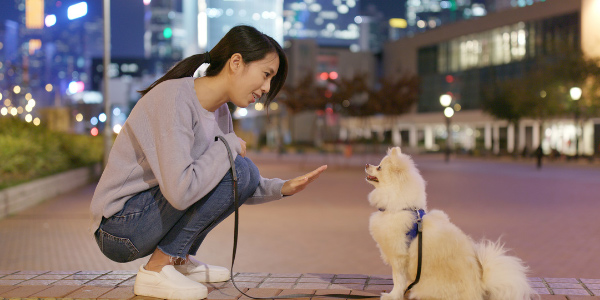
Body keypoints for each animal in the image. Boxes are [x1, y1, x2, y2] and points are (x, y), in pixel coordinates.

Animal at [366, 148, 536, 300]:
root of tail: (480, 289)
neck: (401, 207)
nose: (367, 164)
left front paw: (392, 295)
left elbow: (398, 280)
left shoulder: (399, 256)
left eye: (379, 167)